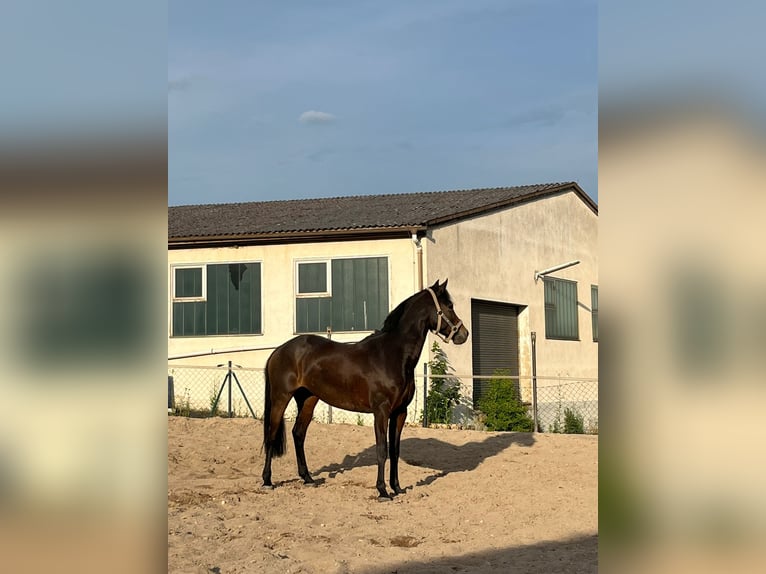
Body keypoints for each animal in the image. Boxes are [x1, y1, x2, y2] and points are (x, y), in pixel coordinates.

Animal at [262, 280, 468, 500]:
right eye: (449, 306)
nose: (464, 334)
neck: (392, 355)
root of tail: (279, 351)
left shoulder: (399, 412)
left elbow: (395, 450)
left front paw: (397, 488)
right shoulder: (381, 411)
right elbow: (382, 450)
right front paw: (382, 491)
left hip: (308, 399)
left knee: (298, 434)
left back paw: (308, 478)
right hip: (281, 398)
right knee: (272, 434)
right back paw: (267, 481)